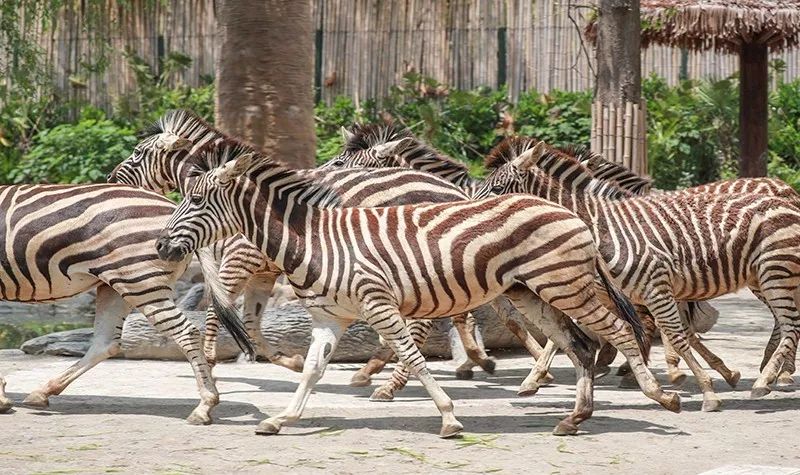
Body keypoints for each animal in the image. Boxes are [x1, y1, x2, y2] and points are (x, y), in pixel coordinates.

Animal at [0, 183, 253, 424]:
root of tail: (174, 209)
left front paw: (2, 399)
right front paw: (3, 398)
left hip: (139, 280)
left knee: (186, 332)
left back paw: (205, 406)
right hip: (116, 284)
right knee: (106, 343)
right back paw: (43, 392)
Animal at [153, 140, 680, 438]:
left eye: (195, 200)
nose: (159, 245)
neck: (317, 241)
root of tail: (569, 210)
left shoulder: (378, 302)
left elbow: (412, 354)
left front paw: (447, 416)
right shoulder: (330, 318)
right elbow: (311, 372)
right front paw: (282, 419)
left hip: (564, 283)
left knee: (618, 331)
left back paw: (661, 395)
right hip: (531, 292)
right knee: (582, 345)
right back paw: (575, 419)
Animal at [472, 137, 800, 410]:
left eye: (498, 190)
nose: (475, 223)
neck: (602, 226)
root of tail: (785, 193)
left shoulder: (655, 286)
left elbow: (676, 335)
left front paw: (704, 389)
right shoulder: (618, 291)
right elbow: (652, 331)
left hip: (774, 272)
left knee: (790, 325)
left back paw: (769, 380)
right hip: (765, 276)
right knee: (787, 323)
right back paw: (773, 373)